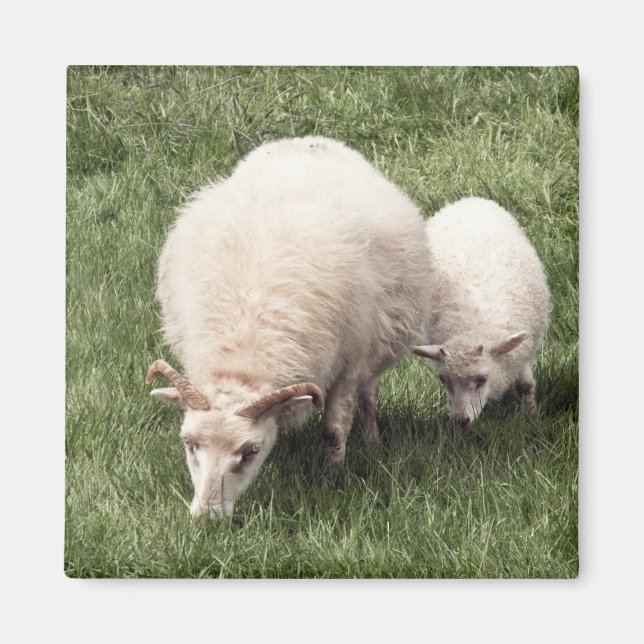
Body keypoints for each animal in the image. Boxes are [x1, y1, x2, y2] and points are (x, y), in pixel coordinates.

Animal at [146, 136, 431, 518]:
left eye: (250, 451)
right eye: (188, 442)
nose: (208, 518)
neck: (246, 342)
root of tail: (307, 139)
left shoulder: (349, 364)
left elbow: (333, 431)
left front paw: (332, 481)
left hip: (378, 342)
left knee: (369, 392)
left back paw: (372, 439)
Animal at [412, 197, 550, 428]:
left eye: (482, 380)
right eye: (443, 380)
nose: (461, 421)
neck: (472, 329)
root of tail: (466, 200)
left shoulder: (524, 349)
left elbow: (525, 386)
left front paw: (531, 416)